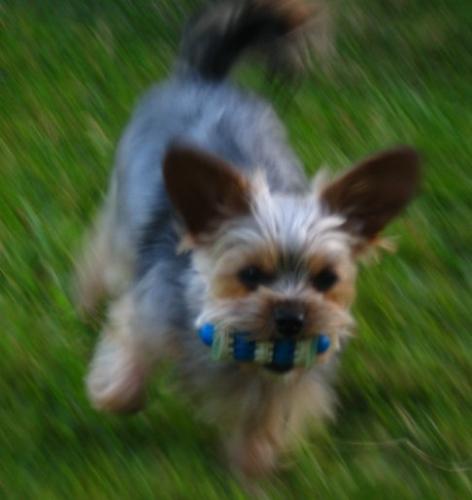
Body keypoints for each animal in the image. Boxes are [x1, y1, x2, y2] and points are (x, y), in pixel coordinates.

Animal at [76, 0, 420, 476]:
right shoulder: (151, 306)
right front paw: (116, 394)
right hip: (125, 206)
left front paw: (251, 469)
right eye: (251, 274)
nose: (291, 318)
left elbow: (266, 422)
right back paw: (86, 300)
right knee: (104, 250)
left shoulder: (287, 382)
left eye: (326, 280)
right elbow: (130, 349)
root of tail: (206, 80)